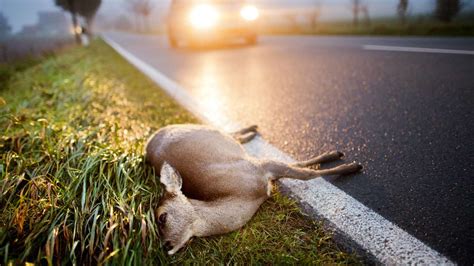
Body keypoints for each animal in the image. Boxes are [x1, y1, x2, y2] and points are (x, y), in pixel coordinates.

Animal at [146, 123, 362, 255]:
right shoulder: (262, 169)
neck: (246, 196)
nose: (165, 246)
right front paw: (342, 160)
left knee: (227, 131)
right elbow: (300, 168)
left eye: (162, 217)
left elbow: (306, 173)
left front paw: (349, 165)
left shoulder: (258, 167)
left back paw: (252, 129)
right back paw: (252, 131)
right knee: (232, 135)